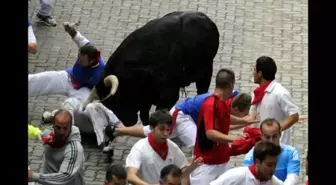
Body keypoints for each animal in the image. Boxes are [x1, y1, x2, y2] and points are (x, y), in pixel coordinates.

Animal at [82, 11, 219, 126]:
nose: (128, 122)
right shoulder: (146, 99)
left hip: (206, 71)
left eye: (117, 99)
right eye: (108, 106)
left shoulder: (168, 95)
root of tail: (207, 20)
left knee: (202, 91)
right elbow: (145, 117)